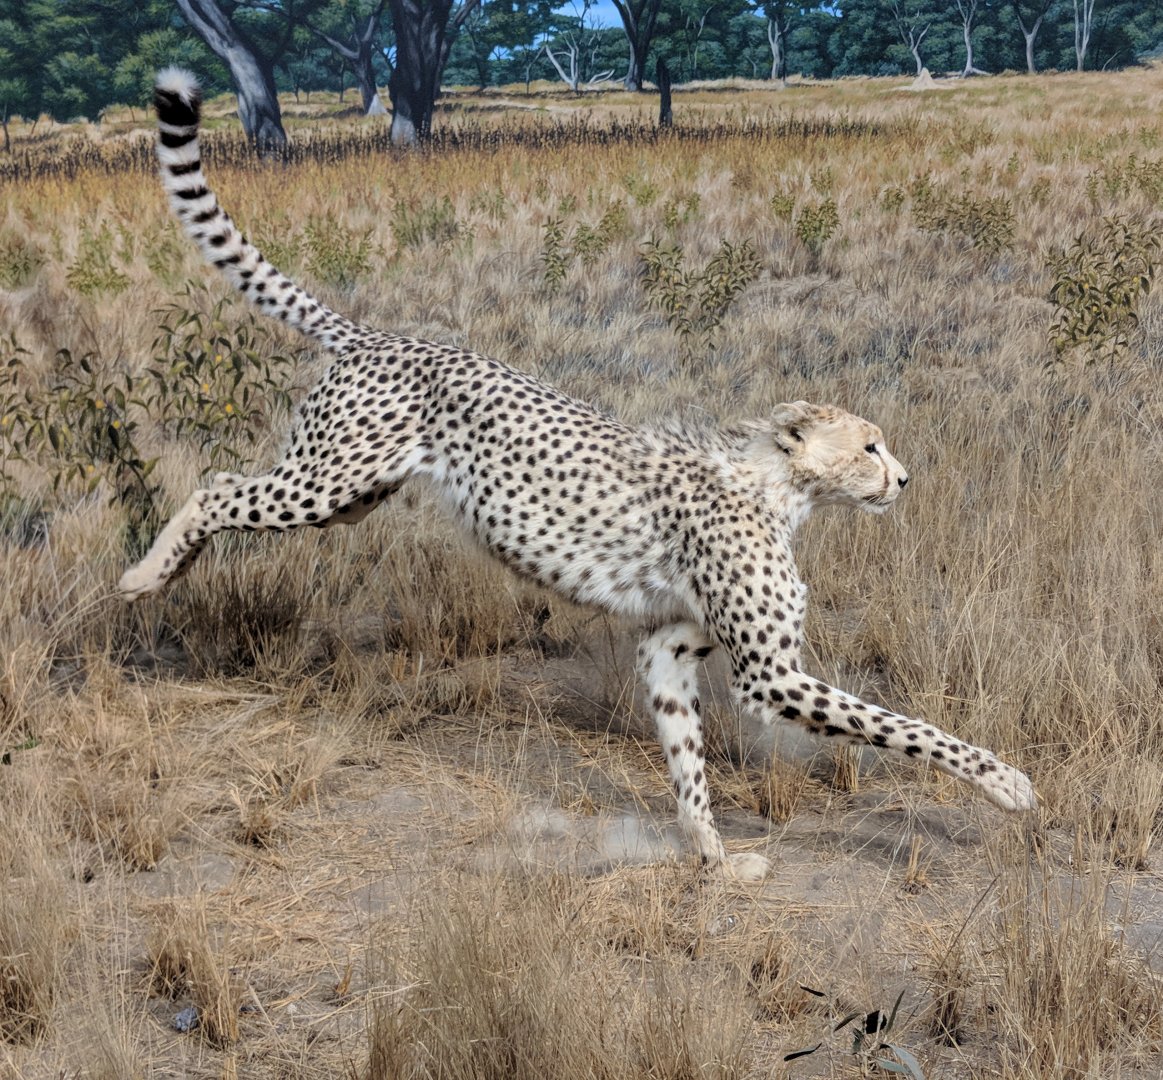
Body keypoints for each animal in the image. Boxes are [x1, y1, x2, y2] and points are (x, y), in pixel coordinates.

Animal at [120, 68, 1036, 882]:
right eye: (870, 446)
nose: (905, 479)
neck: (775, 489)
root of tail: (380, 336)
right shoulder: (769, 675)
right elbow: (903, 726)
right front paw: (1005, 782)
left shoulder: (669, 646)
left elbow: (686, 760)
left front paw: (711, 859)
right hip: (330, 482)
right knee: (214, 485)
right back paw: (145, 575)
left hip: (352, 496)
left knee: (230, 490)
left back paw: (171, 573)